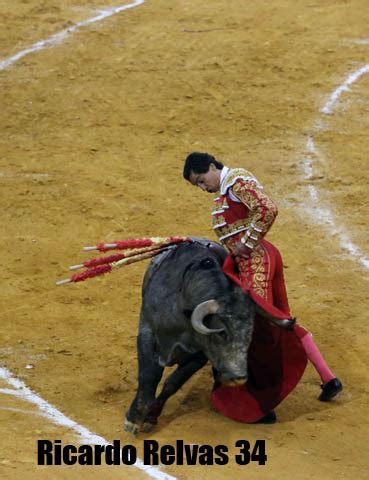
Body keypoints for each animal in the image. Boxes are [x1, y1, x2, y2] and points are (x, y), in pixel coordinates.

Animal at [123, 238, 294, 434]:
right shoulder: (147, 334)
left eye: (249, 333)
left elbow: (172, 383)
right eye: (221, 332)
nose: (238, 377)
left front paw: (151, 418)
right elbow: (148, 377)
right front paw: (134, 419)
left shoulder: (200, 355)